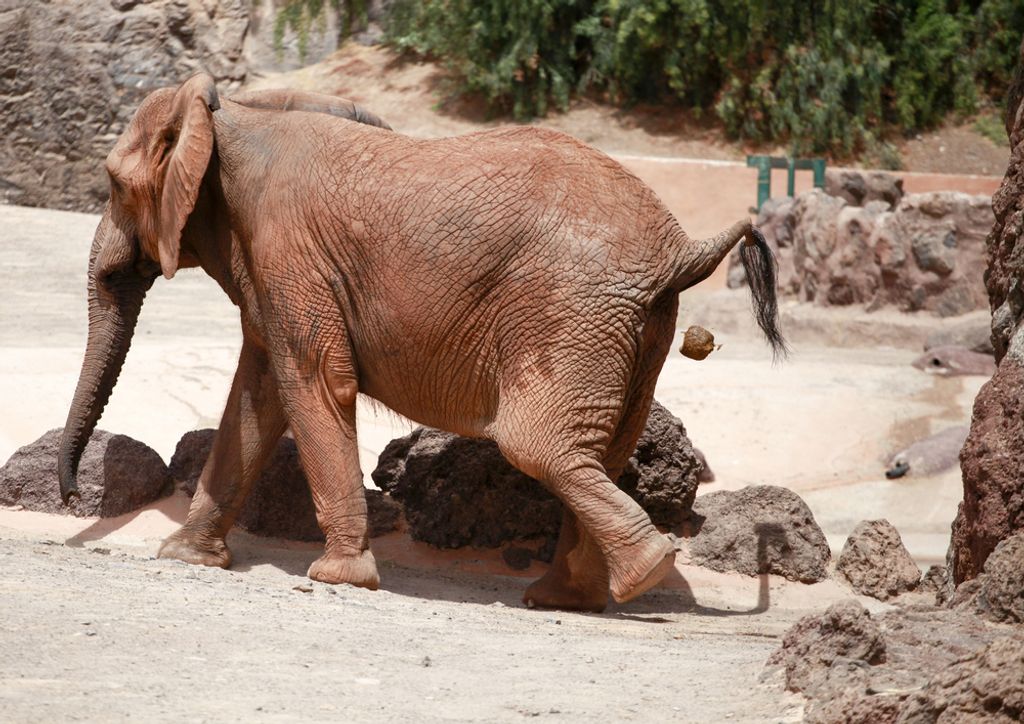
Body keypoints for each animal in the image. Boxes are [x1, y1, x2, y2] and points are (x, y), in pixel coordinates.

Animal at [58, 73, 785, 612]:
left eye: (114, 184)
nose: (68, 497)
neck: (230, 116)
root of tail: (682, 248)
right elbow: (257, 395)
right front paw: (185, 558)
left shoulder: (290, 251)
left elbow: (311, 381)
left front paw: (336, 578)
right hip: (635, 327)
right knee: (603, 449)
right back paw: (566, 598)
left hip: (572, 313)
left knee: (539, 446)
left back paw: (644, 574)